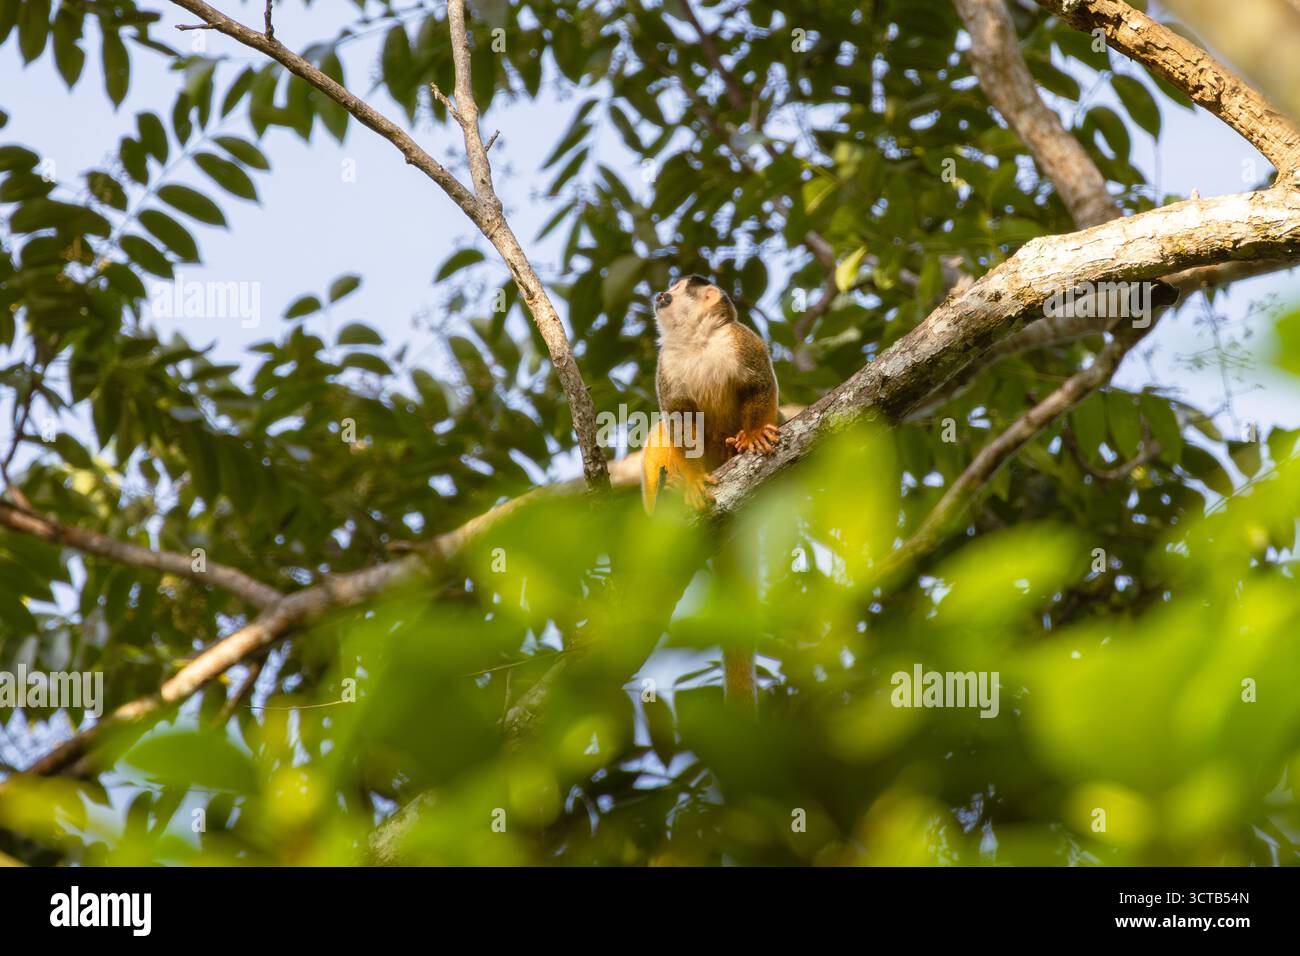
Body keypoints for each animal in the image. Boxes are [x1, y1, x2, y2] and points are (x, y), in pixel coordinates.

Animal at [640, 274, 781, 708]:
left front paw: (754, 434)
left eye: (673, 290)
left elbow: (760, 385)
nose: (658, 295)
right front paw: (690, 483)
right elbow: (677, 419)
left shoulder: (740, 339)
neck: (696, 342)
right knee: (660, 432)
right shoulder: (665, 367)